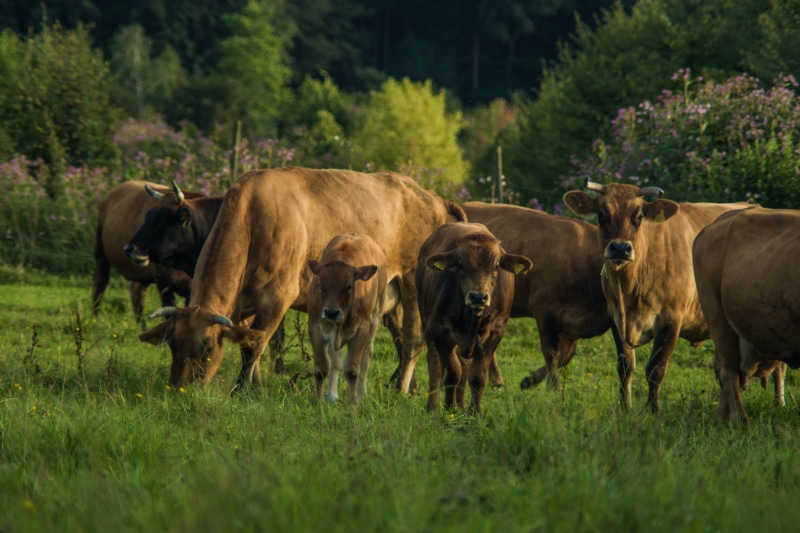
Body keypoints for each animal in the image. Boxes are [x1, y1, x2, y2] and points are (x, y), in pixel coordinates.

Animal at [307, 234, 387, 404]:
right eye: (319, 284)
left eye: (349, 286)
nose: (331, 312)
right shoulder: (315, 328)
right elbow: (321, 367)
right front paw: (319, 400)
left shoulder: (361, 330)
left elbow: (352, 370)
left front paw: (352, 403)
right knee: (335, 358)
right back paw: (332, 394)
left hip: (375, 318)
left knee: (366, 356)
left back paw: (361, 393)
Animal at [417, 221, 532, 413]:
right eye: (460, 264)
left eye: (496, 266)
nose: (478, 297)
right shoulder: (439, 329)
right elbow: (452, 372)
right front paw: (449, 407)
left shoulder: (495, 332)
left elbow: (477, 376)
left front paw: (474, 412)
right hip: (427, 322)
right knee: (435, 364)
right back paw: (433, 407)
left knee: (464, 366)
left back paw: (461, 404)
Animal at [462, 201, 634, 392]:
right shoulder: (545, 311)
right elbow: (551, 352)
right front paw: (553, 387)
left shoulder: (573, 325)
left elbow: (564, 356)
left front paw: (530, 380)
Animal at [563, 179, 749, 413]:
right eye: (602, 214)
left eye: (638, 217)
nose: (620, 248)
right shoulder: (615, 316)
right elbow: (625, 366)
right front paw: (625, 409)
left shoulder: (671, 319)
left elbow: (656, 368)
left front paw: (653, 411)